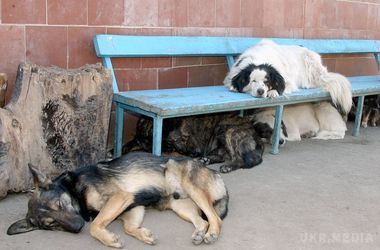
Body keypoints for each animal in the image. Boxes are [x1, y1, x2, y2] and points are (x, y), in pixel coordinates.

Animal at [7, 151, 229, 247]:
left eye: (61, 204)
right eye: (51, 224)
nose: (78, 227)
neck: (75, 189)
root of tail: (213, 171)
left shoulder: (121, 197)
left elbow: (95, 225)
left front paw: (108, 239)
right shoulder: (133, 207)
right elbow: (128, 227)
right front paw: (143, 235)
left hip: (191, 187)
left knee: (215, 219)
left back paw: (211, 234)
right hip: (180, 206)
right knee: (202, 221)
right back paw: (200, 233)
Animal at [127, 113, 264, 174]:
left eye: (187, 136)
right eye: (182, 138)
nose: (198, 152)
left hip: (227, 130)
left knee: (240, 158)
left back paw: (229, 166)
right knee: (222, 155)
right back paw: (205, 160)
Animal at [224, 39, 352, 115]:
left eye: (266, 81)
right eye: (253, 81)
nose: (261, 91)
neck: (258, 59)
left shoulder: (287, 80)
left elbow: (281, 87)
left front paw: (273, 92)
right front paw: (234, 87)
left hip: (312, 68)